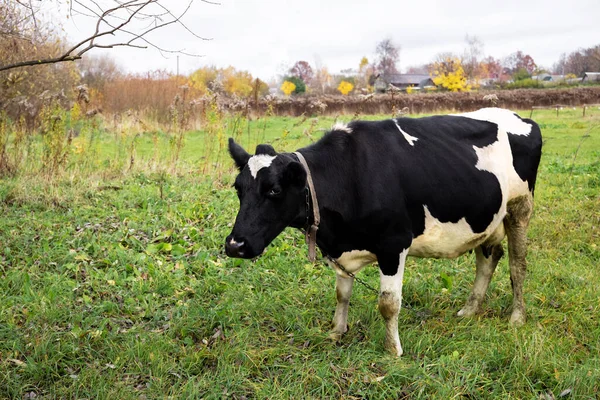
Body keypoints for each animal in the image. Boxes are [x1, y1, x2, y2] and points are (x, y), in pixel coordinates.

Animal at [225, 107, 544, 356]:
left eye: (274, 190)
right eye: (238, 188)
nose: (234, 245)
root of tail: (519, 117)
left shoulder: (393, 244)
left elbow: (388, 303)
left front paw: (393, 350)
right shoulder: (344, 248)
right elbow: (342, 294)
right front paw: (336, 331)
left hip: (519, 207)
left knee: (517, 264)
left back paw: (517, 316)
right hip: (486, 217)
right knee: (488, 258)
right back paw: (470, 310)